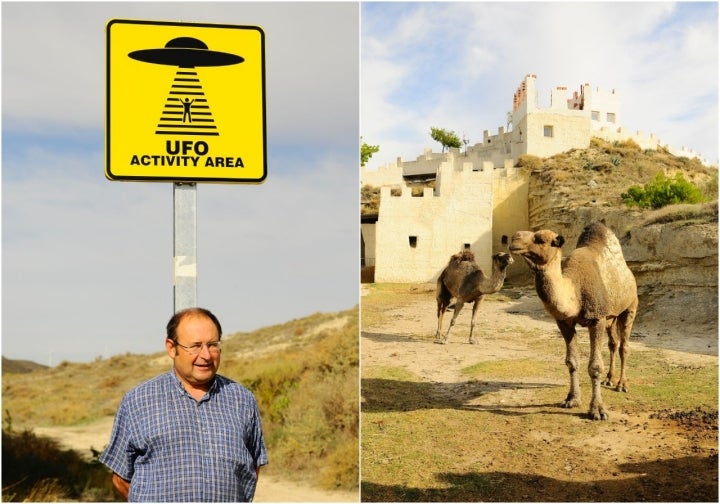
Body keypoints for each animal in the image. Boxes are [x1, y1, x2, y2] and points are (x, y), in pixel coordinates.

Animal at [510, 224, 640, 422]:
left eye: (541, 239)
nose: (514, 239)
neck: (574, 291)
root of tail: (630, 274)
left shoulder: (597, 318)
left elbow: (595, 366)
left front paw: (597, 410)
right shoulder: (564, 322)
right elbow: (571, 361)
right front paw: (571, 399)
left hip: (630, 306)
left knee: (624, 346)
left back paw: (621, 384)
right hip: (611, 317)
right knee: (613, 343)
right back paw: (609, 379)